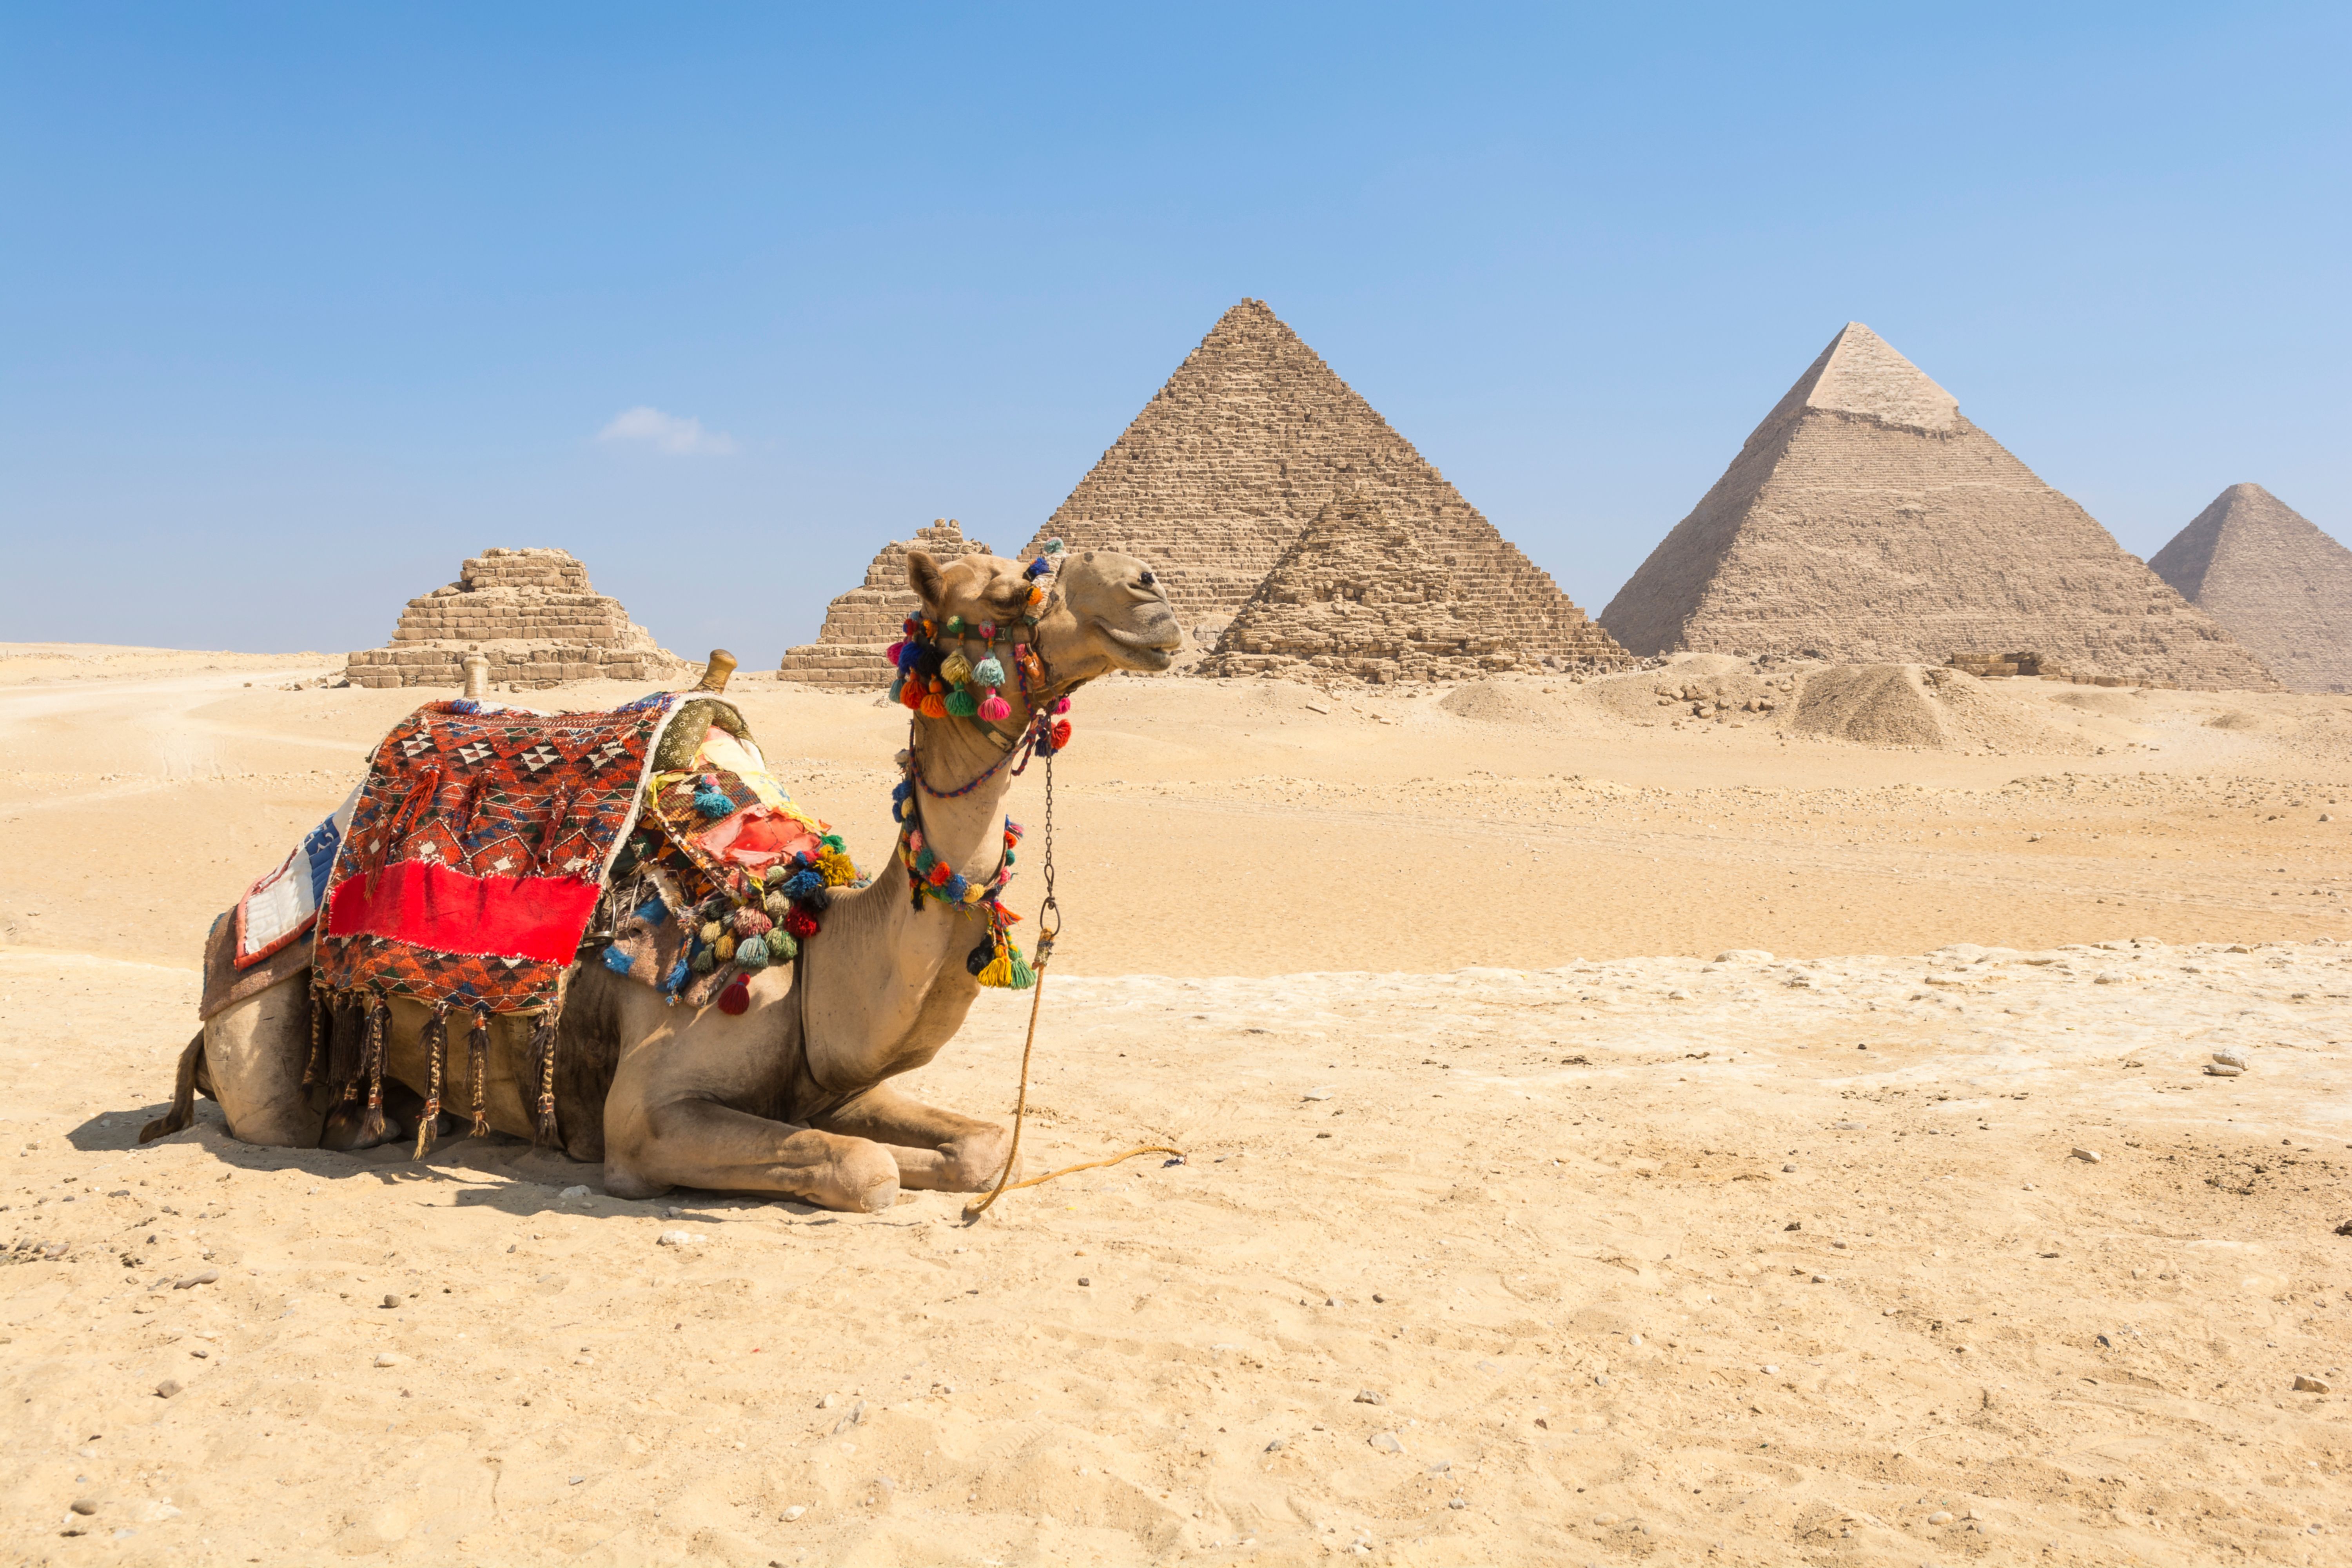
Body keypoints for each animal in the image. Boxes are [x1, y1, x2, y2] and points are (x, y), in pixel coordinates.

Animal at [145, 547, 1181, 1213]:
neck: (813, 939)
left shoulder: (823, 1087)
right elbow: (864, 1171)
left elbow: (981, 1146)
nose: (1151, 593)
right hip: (261, 1043)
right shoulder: (648, 1115)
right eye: (1006, 591)